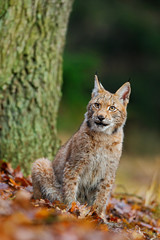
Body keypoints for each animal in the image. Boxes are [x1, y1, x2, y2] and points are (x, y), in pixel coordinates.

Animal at [31, 76, 130, 218]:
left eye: (112, 108)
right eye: (97, 105)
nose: (100, 117)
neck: (103, 136)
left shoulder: (109, 171)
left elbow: (102, 196)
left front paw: (97, 215)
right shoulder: (74, 164)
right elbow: (70, 187)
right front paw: (72, 208)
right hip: (41, 162)